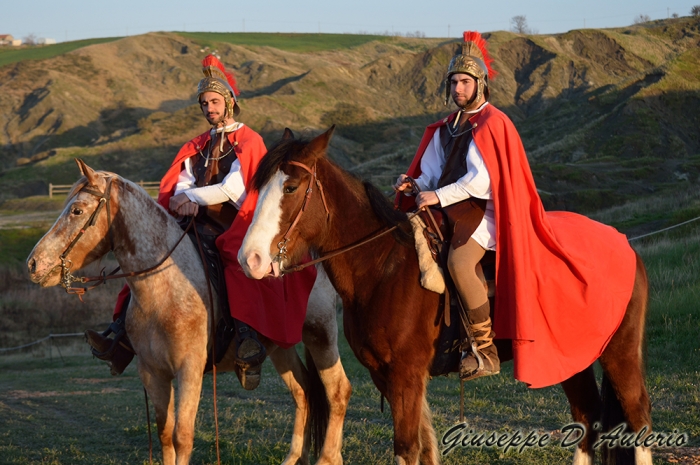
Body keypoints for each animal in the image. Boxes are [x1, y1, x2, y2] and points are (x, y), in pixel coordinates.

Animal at [26, 159, 352, 464]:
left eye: (77, 211)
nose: (33, 264)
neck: (164, 290)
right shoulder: (153, 373)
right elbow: (165, 434)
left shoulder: (190, 370)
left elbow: (182, 436)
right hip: (279, 346)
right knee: (303, 392)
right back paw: (296, 456)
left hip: (320, 333)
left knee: (337, 390)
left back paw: (329, 457)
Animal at [239, 128, 652, 464]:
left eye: (290, 188)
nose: (250, 259)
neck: (383, 266)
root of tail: (624, 244)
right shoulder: (385, 374)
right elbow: (423, 446)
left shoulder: (406, 375)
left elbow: (407, 448)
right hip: (571, 356)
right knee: (587, 415)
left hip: (619, 352)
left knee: (637, 417)